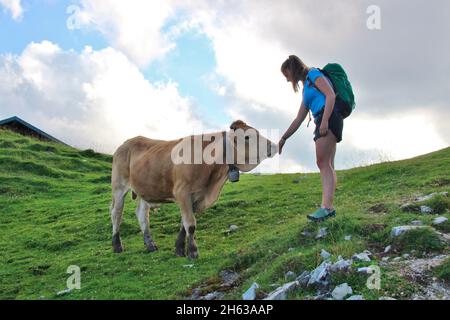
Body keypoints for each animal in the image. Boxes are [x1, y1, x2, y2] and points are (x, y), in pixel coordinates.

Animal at [110, 119, 278, 258]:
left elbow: (184, 224)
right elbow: (190, 224)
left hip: (147, 189)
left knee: (142, 214)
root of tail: (126, 143)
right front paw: (192, 252)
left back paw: (150, 244)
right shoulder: (182, 192)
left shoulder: (197, 196)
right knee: (116, 213)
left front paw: (179, 249)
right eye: (247, 137)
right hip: (119, 186)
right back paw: (117, 246)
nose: (274, 146)